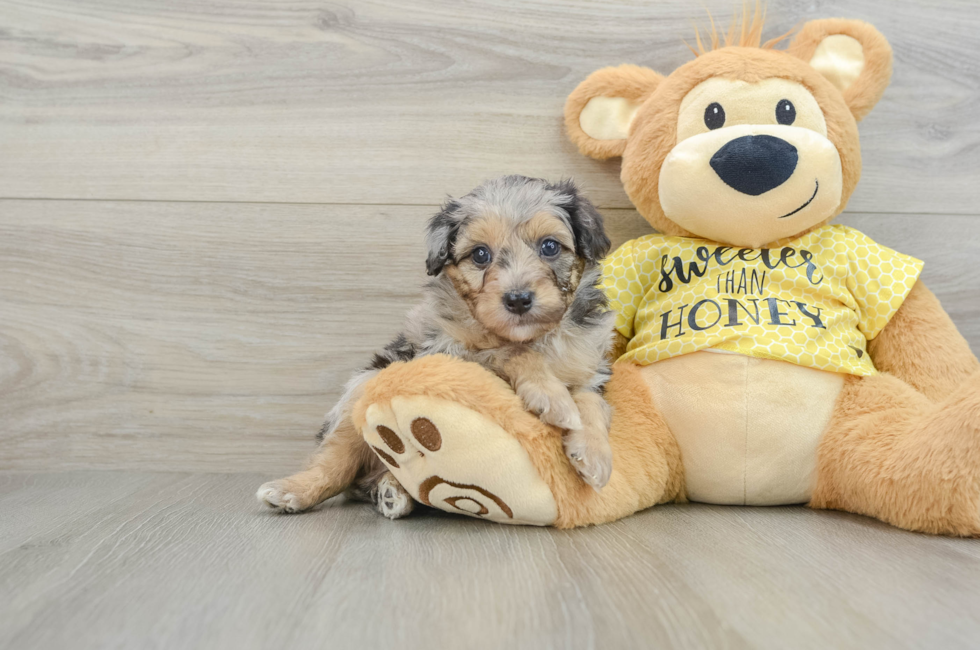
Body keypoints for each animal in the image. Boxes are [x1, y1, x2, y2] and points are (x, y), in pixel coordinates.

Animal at [256, 175, 616, 520]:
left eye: (550, 246)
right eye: (480, 254)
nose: (517, 299)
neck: (534, 337)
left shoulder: (591, 363)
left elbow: (591, 401)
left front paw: (594, 454)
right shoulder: (445, 353)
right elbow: (510, 353)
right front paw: (552, 397)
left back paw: (392, 491)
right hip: (358, 394)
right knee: (337, 461)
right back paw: (294, 491)